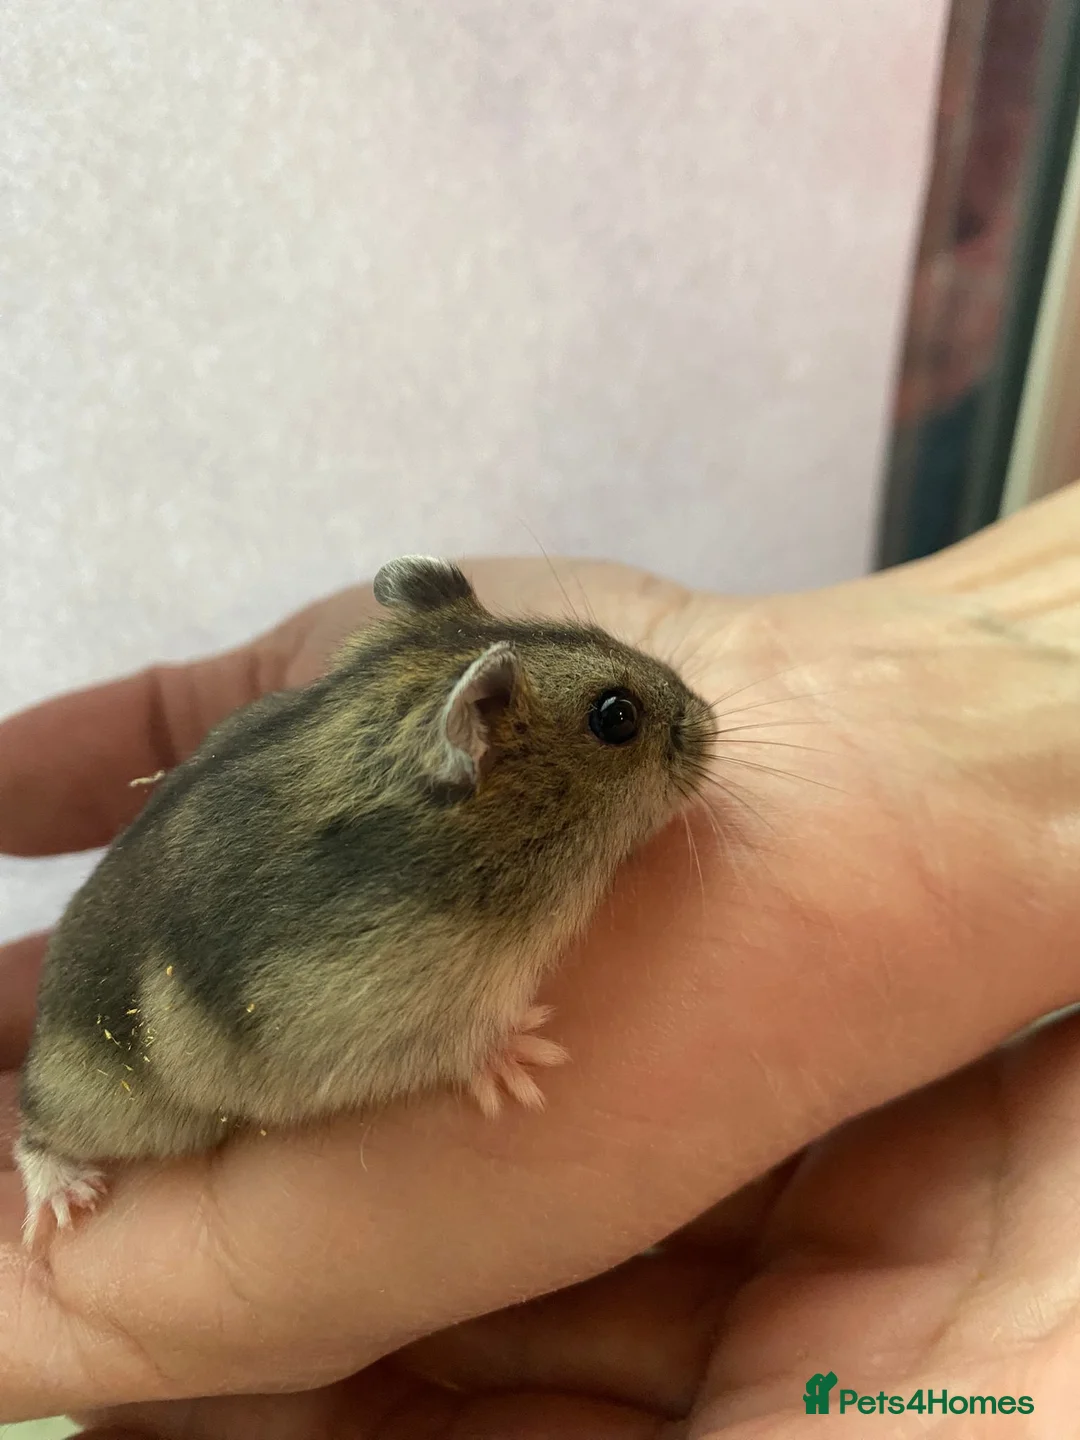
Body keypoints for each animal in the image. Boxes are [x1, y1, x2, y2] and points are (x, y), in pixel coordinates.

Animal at [15, 556, 715, 1245]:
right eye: (616, 716)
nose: (711, 721)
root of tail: (42, 1037)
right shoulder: (355, 1011)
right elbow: (459, 1044)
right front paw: (529, 1057)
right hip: (110, 1105)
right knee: (33, 1126)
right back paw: (67, 1202)